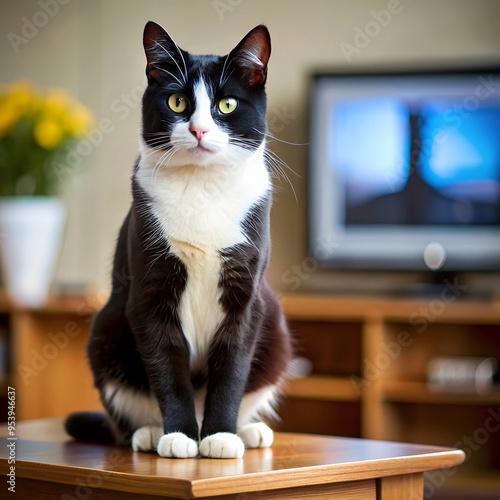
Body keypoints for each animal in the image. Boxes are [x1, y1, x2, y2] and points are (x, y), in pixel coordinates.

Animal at [66, 21, 292, 458]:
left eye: (226, 105)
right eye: (176, 102)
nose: (199, 129)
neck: (201, 186)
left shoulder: (247, 296)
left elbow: (233, 366)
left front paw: (220, 435)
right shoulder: (148, 291)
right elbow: (167, 367)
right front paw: (180, 436)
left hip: (275, 330)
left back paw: (248, 431)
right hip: (106, 332)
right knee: (125, 411)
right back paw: (149, 433)